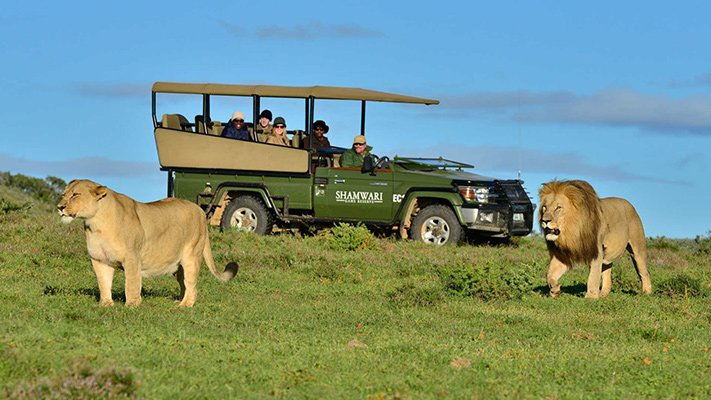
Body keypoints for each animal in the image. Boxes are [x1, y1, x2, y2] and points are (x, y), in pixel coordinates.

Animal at [56, 180, 239, 308]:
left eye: (75, 195)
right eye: (63, 194)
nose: (59, 207)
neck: (96, 223)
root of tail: (200, 210)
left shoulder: (132, 258)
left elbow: (131, 283)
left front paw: (131, 305)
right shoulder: (100, 260)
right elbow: (103, 283)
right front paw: (106, 304)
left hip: (191, 256)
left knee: (191, 284)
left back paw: (185, 305)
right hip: (178, 265)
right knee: (184, 283)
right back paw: (179, 300)